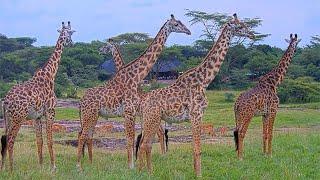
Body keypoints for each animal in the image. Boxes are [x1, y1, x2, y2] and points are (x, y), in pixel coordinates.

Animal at [1, 21, 75, 171]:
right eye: (69, 34)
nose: (72, 43)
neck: (50, 75)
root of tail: (6, 101)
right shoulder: (50, 111)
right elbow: (50, 140)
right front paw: (53, 166)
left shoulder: (37, 116)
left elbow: (39, 140)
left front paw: (40, 165)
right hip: (18, 117)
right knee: (11, 140)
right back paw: (12, 169)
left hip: (8, 118)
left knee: (5, 138)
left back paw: (3, 167)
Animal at [76, 14, 190, 170]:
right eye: (176, 24)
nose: (188, 31)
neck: (136, 76)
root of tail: (81, 102)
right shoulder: (129, 111)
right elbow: (130, 138)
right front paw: (131, 166)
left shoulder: (132, 112)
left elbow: (132, 137)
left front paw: (133, 164)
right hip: (90, 115)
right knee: (83, 135)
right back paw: (80, 166)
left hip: (94, 115)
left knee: (87, 136)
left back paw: (90, 163)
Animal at [136, 13, 254, 176]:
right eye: (240, 26)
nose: (252, 35)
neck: (204, 80)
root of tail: (142, 102)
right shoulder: (196, 114)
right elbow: (198, 149)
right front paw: (199, 175)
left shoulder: (196, 116)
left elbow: (194, 147)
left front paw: (195, 172)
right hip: (151, 119)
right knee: (144, 144)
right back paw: (145, 173)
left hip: (151, 120)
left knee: (144, 143)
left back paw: (144, 172)